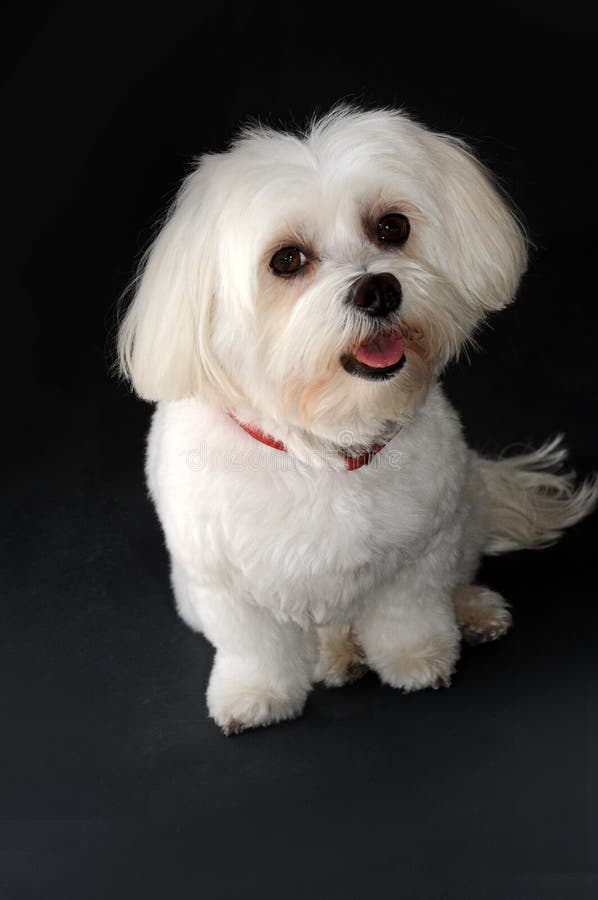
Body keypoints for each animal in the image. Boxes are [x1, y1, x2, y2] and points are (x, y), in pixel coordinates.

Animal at [118, 107, 598, 732]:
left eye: (392, 227)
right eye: (287, 260)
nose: (378, 289)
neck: (324, 445)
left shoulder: (421, 551)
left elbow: (408, 614)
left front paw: (419, 659)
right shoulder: (222, 583)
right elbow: (255, 647)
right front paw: (254, 695)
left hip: (464, 512)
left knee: (459, 571)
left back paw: (470, 610)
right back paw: (335, 653)